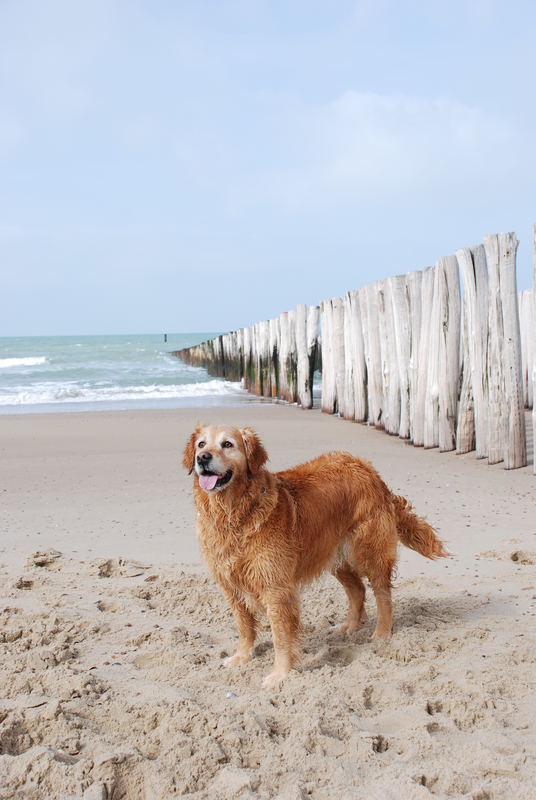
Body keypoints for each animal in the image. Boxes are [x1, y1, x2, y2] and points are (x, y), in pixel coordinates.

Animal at [184, 424, 448, 688]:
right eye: (201, 444)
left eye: (227, 444)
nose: (202, 458)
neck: (234, 513)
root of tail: (370, 470)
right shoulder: (231, 585)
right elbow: (244, 626)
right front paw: (242, 657)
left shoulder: (276, 588)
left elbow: (281, 636)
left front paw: (280, 675)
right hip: (334, 555)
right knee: (357, 590)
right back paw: (349, 627)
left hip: (369, 551)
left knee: (382, 593)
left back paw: (382, 632)